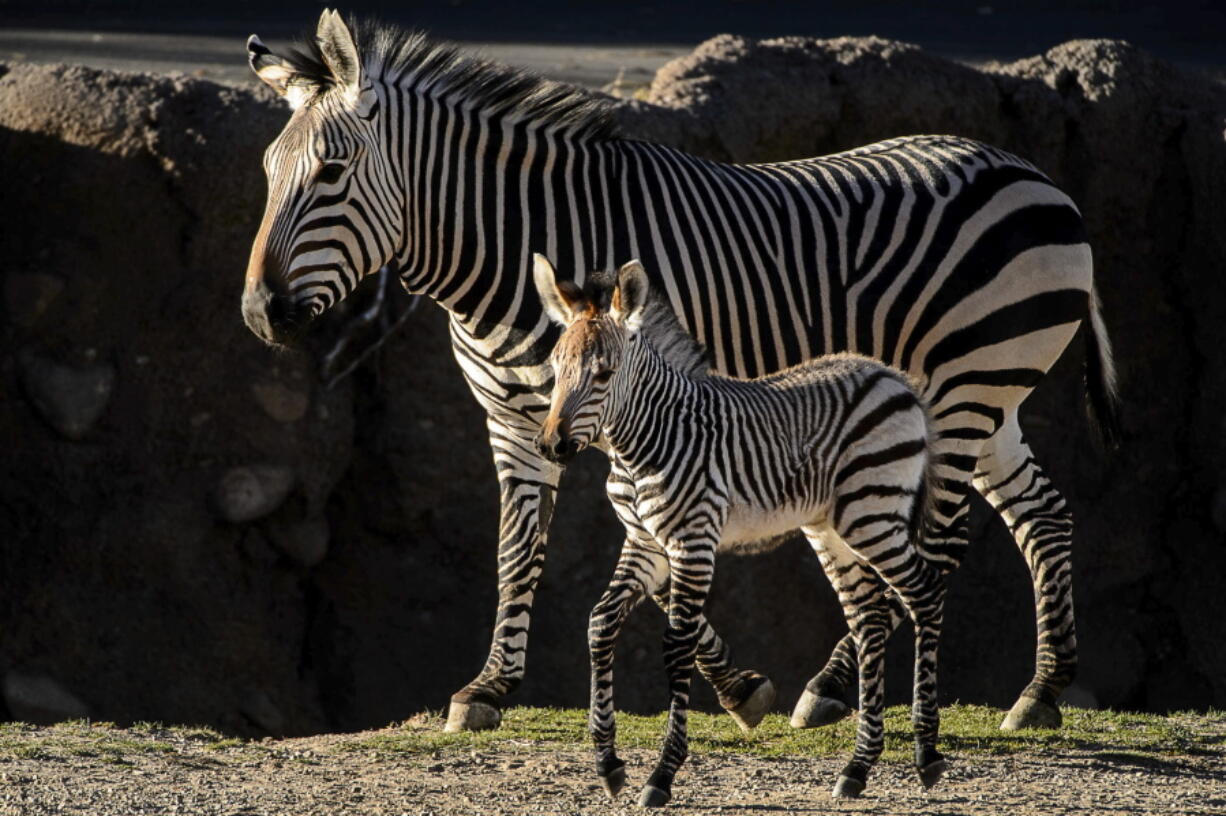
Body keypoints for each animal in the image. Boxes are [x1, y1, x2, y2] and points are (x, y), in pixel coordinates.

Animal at [239, 11, 1123, 730]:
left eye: (330, 173)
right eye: (267, 172)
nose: (259, 313)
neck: (511, 261)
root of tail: (1037, 178)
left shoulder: (649, 415)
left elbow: (663, 565)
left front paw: (741, 689)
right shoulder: (517, 422)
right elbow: (517, 549)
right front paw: (488, 689)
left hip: (964, 387)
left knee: (935, 543)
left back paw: (836, 685)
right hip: (984, 396)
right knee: (1042, 512)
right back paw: (1040, 692)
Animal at [534, 256, 946, 808]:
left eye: (603, 373)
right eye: (555, 369)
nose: (551, 446)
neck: (640, 444)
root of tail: (893, 376)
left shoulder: (693, 542)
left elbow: (678, 644)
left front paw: (662, 774)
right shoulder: (645, 545)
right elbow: (600, 623)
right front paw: (607, 763)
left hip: (873, 512)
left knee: (925, 595)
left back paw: (926, 753)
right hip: (833, 527)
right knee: (871, 618)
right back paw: (859, 766)